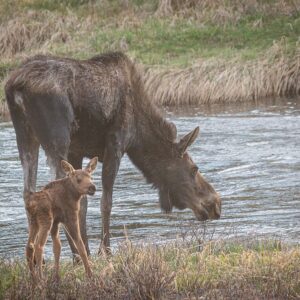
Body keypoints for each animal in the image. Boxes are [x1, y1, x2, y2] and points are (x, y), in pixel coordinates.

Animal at [4, 51, 220, 255]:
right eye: (194, 168)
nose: (216, 204)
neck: (139, 135)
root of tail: (15, 85)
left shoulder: (77, 150)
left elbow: (82, 204)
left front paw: (87, 250)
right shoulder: (115, 144)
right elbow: (105, 202)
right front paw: (104, 251)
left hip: (25, 135)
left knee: (28, 192)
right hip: (57, 136)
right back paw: (74, 255)